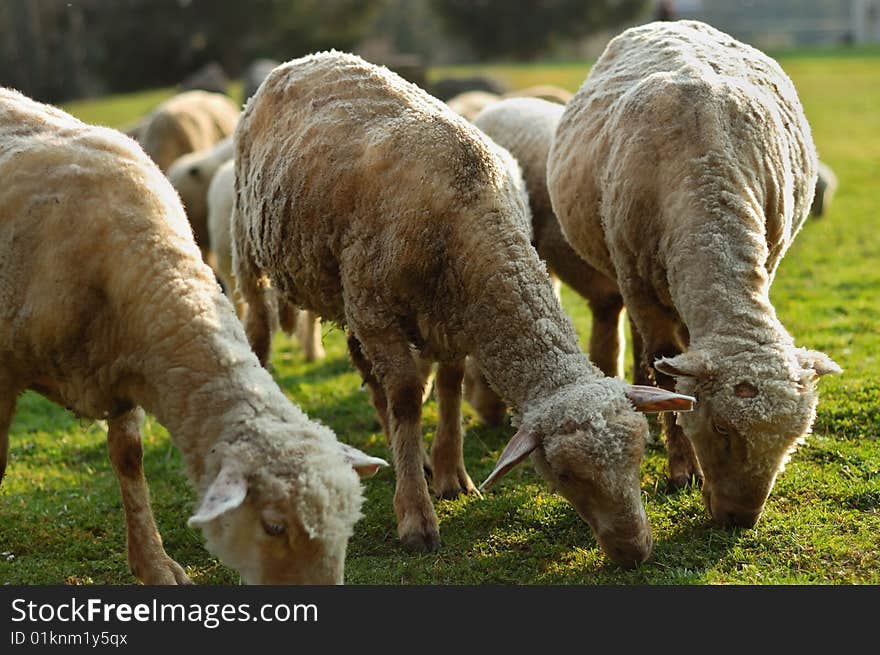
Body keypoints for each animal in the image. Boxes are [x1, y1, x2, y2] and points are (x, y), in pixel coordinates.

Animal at [548, 20, 844, 532]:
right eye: (722, 426)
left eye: (794, 440)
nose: (739, 519)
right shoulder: (636, 278)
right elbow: (666, 369)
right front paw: (682, 467)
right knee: (647, 344)